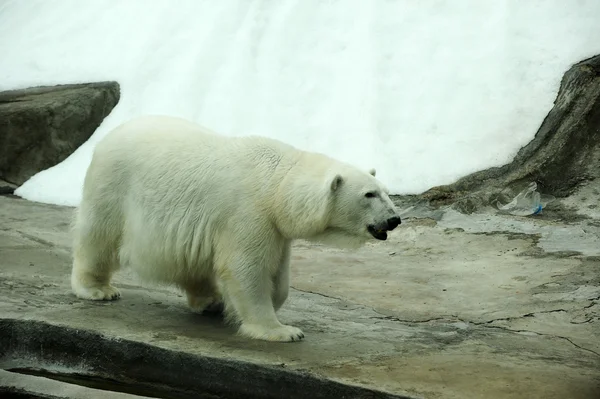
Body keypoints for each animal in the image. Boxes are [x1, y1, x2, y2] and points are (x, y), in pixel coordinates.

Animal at [70, 115, 400, 344]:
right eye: (369, 194)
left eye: (385, 191)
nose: (394, 219)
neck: (276, 182)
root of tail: (107, 136)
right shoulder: (249, 213)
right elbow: (247, 268)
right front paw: (282, 331)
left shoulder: (276, 227)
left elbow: (279, 274)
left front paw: (263, 305)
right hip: (114, 186)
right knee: (99, 237)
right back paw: (97, 289)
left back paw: (210, 301)